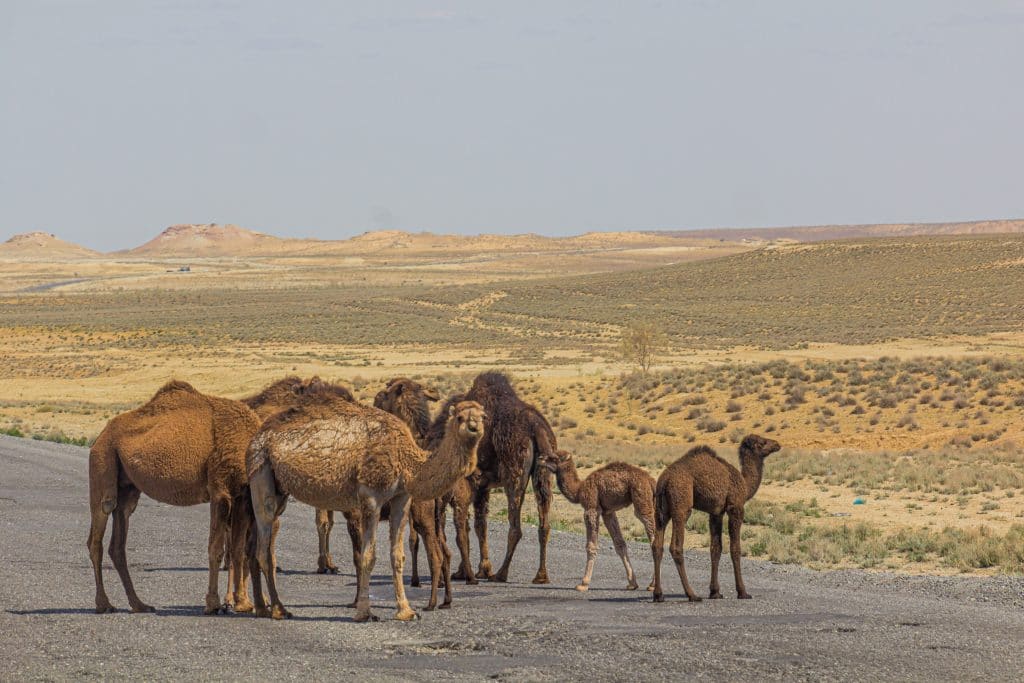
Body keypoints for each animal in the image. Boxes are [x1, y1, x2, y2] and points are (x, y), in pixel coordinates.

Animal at [87, 380, 260, 615]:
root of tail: (100, 435)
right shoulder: (220, 490)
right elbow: (216, 549)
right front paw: (213, 604)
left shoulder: (242, 495)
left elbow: (238, 550)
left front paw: (242, 603)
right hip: (103, 462)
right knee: (99, 529)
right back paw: (104, 604)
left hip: (127, 487)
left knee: (118, 539)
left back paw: (139, 604)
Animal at [247, 387, 485, 621]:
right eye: (460, 417)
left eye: (483, 416)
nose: (474, 427)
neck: (408, 460)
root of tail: (259, 436)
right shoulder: (370, 497)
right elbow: (367, 557)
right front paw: (364, 612)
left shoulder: (402, 498)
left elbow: (397, 556)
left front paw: (406, 610)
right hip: (261, 471)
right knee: (264, 546)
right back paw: (278, 609)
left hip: (280, 490)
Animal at [463, 372, 556, 584]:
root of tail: (536, 427)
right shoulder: (482, 484)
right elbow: (480, 524)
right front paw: (481, 570)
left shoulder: (473, 480)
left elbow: (470, 524)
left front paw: (467, 572)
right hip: (545, 470)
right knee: (544, 524)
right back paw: (541, 576)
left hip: (514, 470)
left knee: (515, 526)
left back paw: (501, 574)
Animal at [540, 449, 656, 592]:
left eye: (554, 457)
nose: (540, 458)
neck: (579, 489)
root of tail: (651, 481)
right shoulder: (608, 512)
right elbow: (620, 544)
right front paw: (632, 583)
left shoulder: (591, 508)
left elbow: (591, 546)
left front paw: (583, 583)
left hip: (642, 500)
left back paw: (653, 585)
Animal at [651, 434, 781, 603]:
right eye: (762, 442)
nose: (777, 444)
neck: (744, 484)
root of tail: (664, 480)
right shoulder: (735, 508)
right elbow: (735, 549)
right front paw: (743, 592)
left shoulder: (716, 513)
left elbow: (716, 549)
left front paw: (715, 592)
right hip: (681, 504)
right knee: (676, 547)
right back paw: (692, 595)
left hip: (661, 511)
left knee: (657, 546)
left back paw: (658, 595)